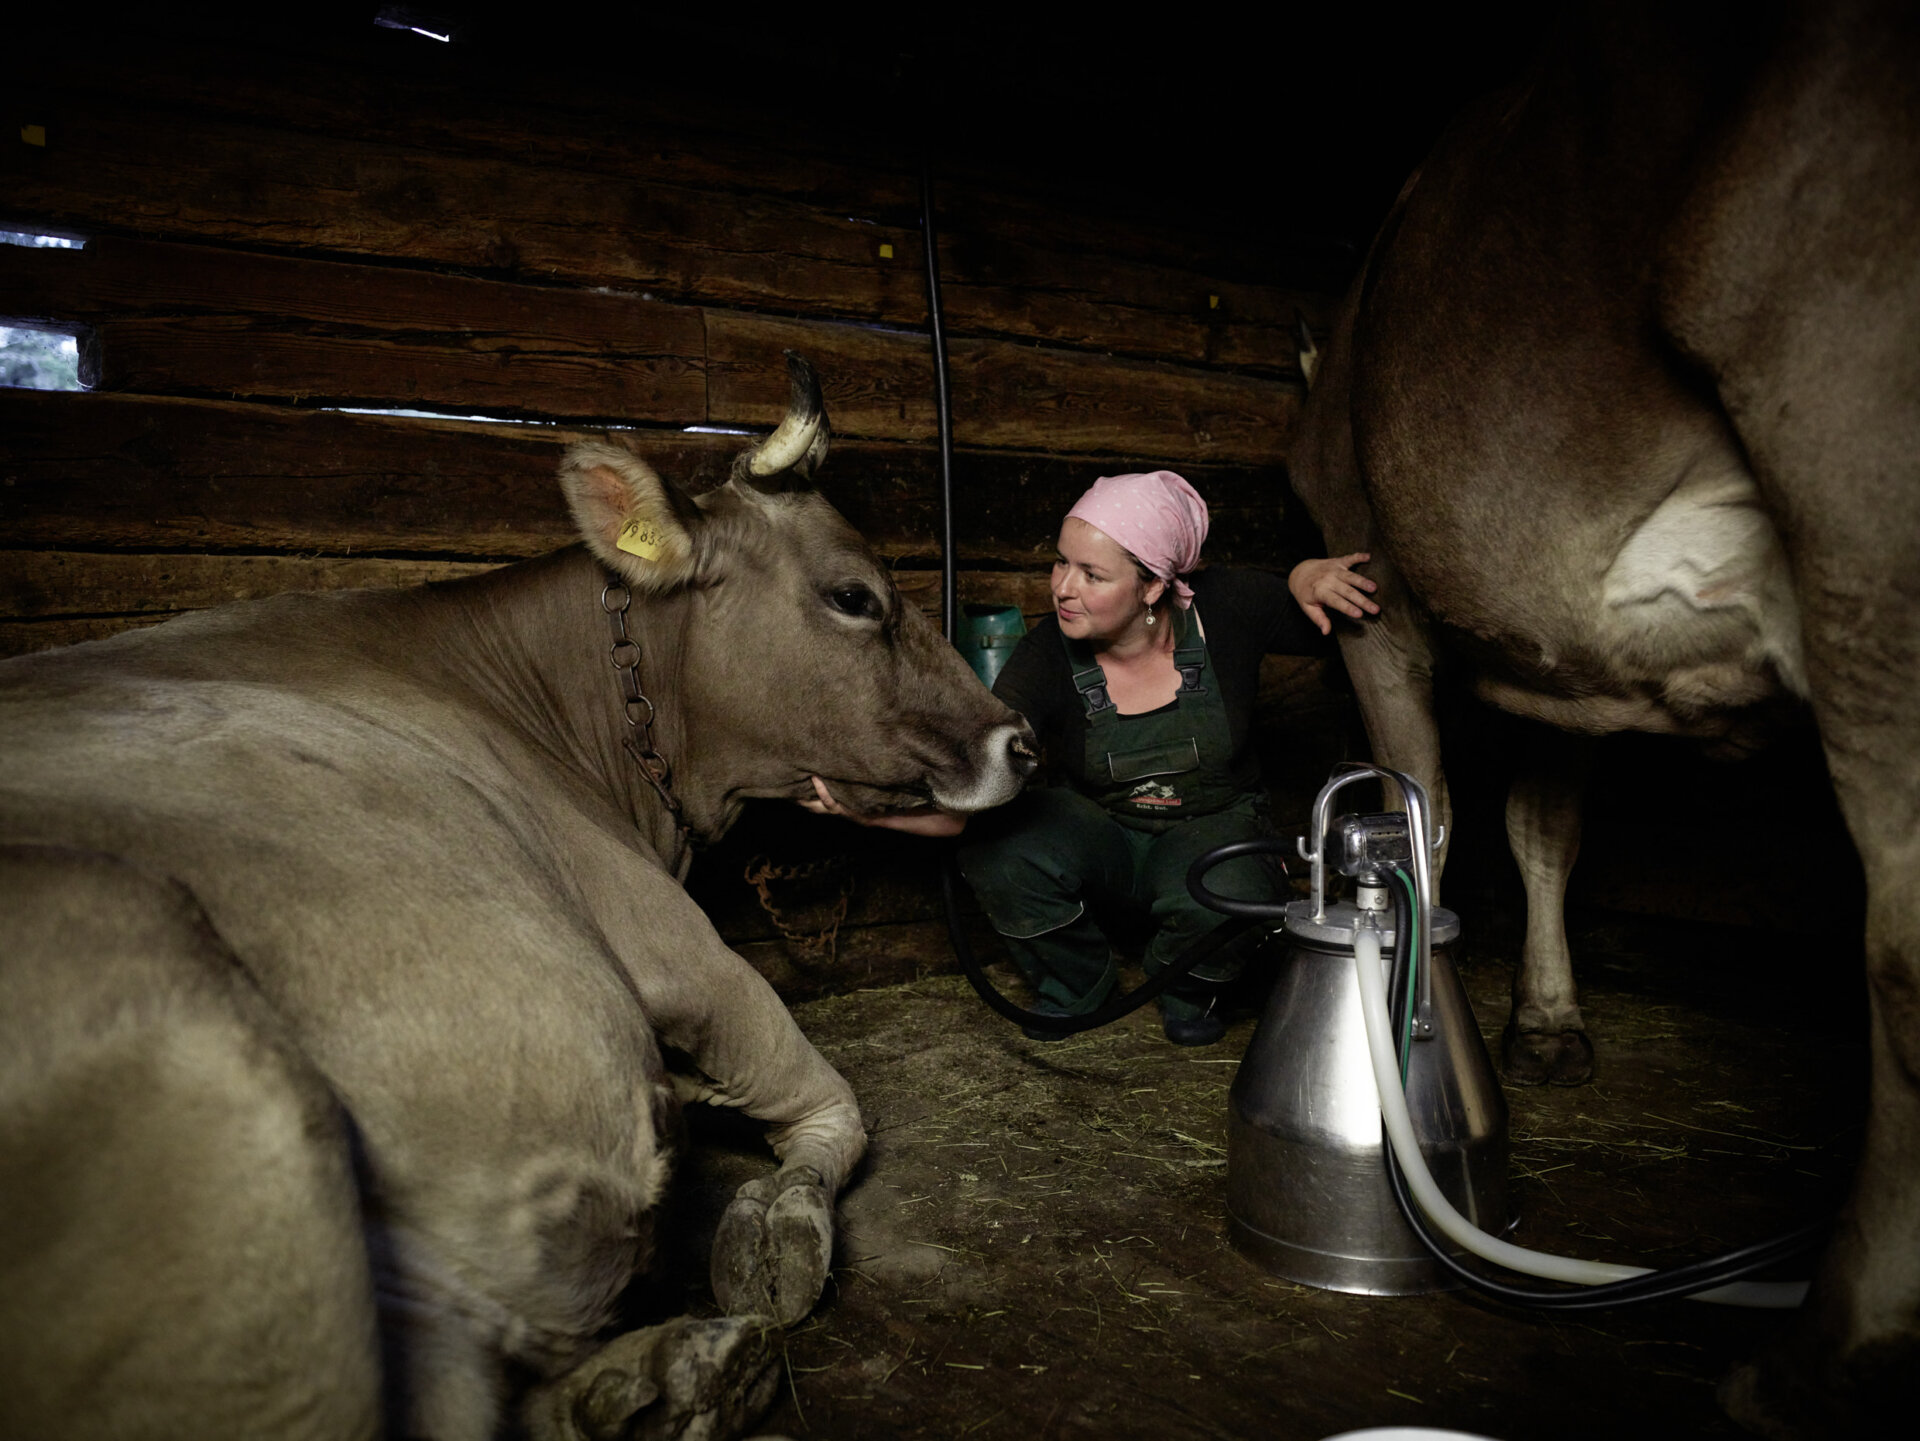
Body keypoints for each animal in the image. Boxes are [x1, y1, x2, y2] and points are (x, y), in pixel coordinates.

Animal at [0, 353, 1036, 1441]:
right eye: (853, 596)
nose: (1022, 742)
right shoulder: (677, 950)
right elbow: (835, 1107)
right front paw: (778, 1224)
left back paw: (660, 1380)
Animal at [1282, 5, 1920, 1435]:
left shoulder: (1375, 588)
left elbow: (1432, 810)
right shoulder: (1560, 657)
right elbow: (1533, 829)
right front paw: (1546, 1022)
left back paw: (1820, 1359)